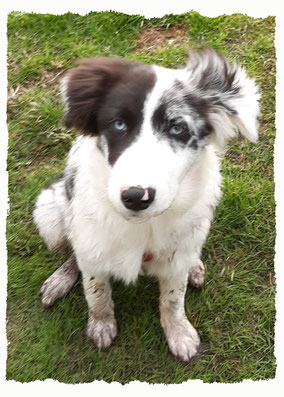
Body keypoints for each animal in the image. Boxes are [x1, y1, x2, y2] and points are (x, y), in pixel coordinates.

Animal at [32, 47, 260, 362]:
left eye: (177, 128)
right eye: (118, 124)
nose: (135, 196)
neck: (145, 225)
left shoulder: (176, 256)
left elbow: (173, 300)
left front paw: (179, 334)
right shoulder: (92, 244)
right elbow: (96, 289)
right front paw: (101, 324)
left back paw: (195, 267)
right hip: (50, 215)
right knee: (72, 254)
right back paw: (60, 279)